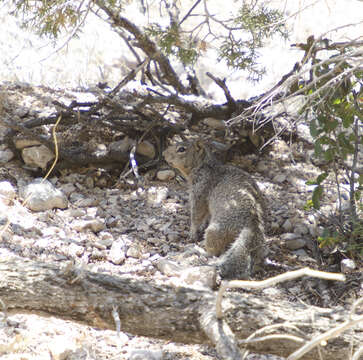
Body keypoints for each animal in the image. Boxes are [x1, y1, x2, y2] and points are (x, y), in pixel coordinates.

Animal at [164, 140, 266, 278]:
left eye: (181, 149)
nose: (164, 153)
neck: (205, 167)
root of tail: (251, 227)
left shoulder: (200, 192)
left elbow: (197, 215)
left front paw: (192, 232)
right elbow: (206, 215)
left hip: (214, 231)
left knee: (213, 252)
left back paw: (199, 249)